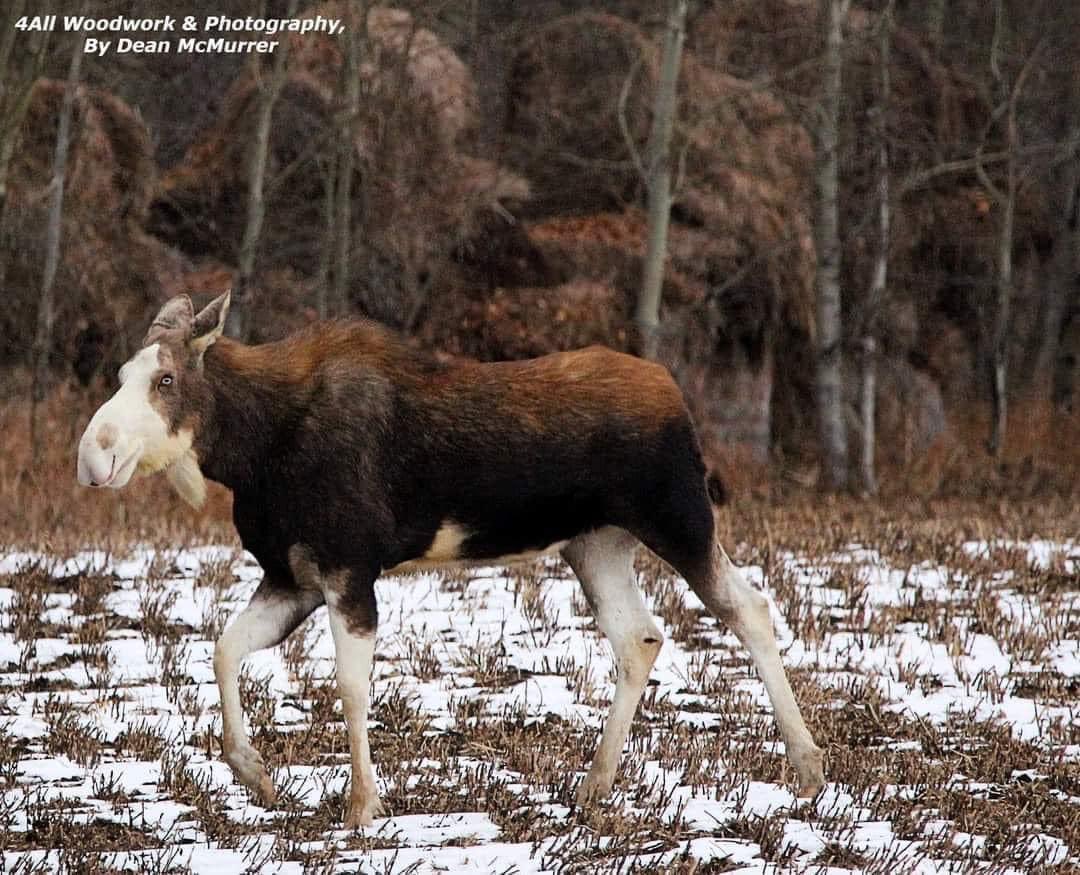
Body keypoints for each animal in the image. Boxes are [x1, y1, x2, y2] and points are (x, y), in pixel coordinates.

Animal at [76, 292, 824, 828]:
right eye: (122, 375)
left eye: (166, 378)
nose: (94, 456)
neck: (253, 450)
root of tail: (677, 396)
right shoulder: (292, 577)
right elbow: (224, 650)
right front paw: (255, 772)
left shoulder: (348, 571)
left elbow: (349, 687)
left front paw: (363, 804)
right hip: (596, 543)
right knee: (640, 637)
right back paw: (595, 783)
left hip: (679, 520)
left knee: (749, 608)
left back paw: (808, 764)